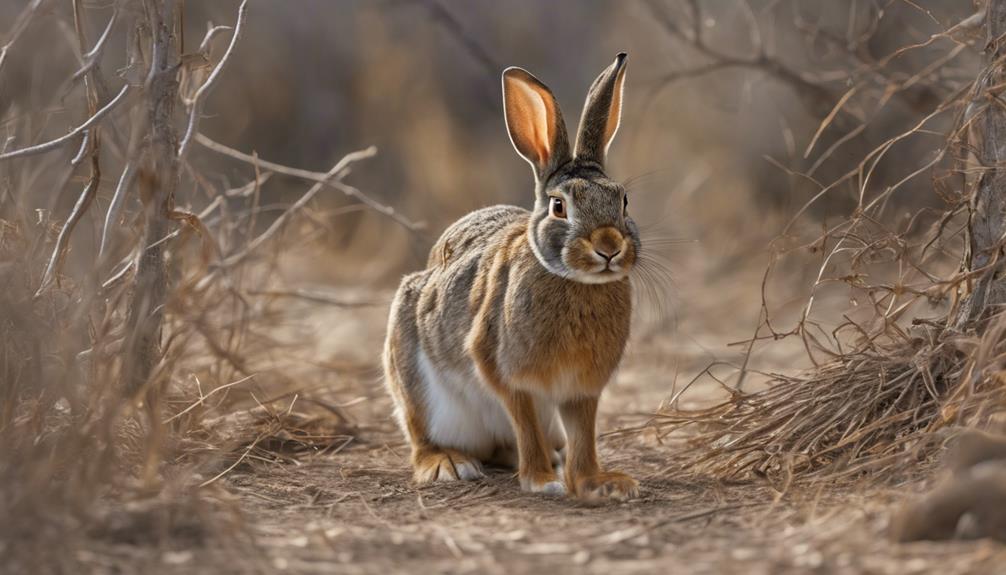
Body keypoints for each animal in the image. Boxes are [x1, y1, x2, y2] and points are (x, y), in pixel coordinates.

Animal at [380, 53, 639, 498]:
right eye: (558, 207)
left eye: (622, 201)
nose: (609, 246)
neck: (575, 283)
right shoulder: (504, 369)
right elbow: (525, 421)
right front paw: (542, 482)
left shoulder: (583, 389)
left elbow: (584, 433)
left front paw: (600, 483)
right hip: (416, 382)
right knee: (423, 436)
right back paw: (449, 465)